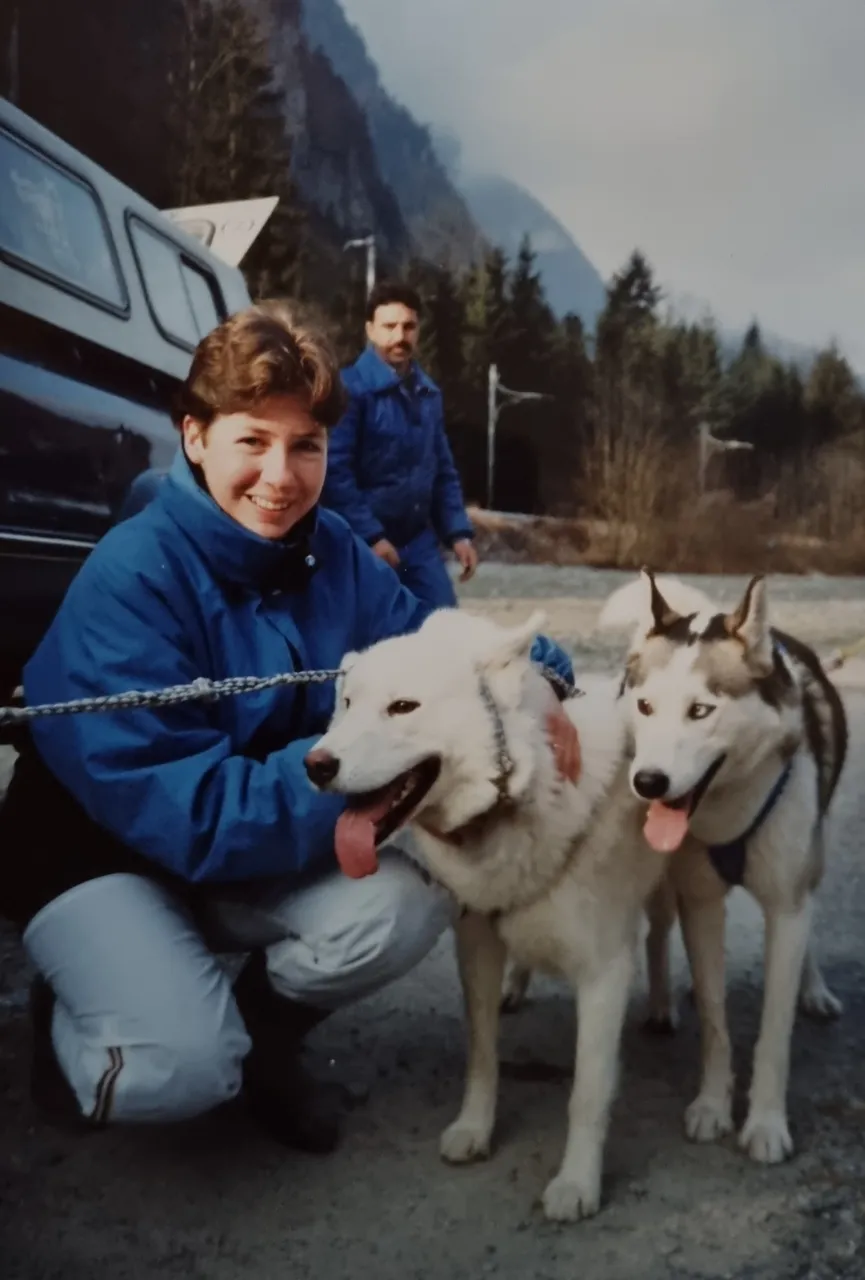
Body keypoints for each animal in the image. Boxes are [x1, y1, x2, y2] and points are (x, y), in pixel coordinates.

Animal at [307, 609, 665, 1218]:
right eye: (348, 703)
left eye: (402, 706)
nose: (315, 765)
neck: (527, 795)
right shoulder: (475, 945)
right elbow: (481, 1055)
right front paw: (474, 1130)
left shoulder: (604, 975)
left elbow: (587, 1092)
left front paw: (577, 1183)